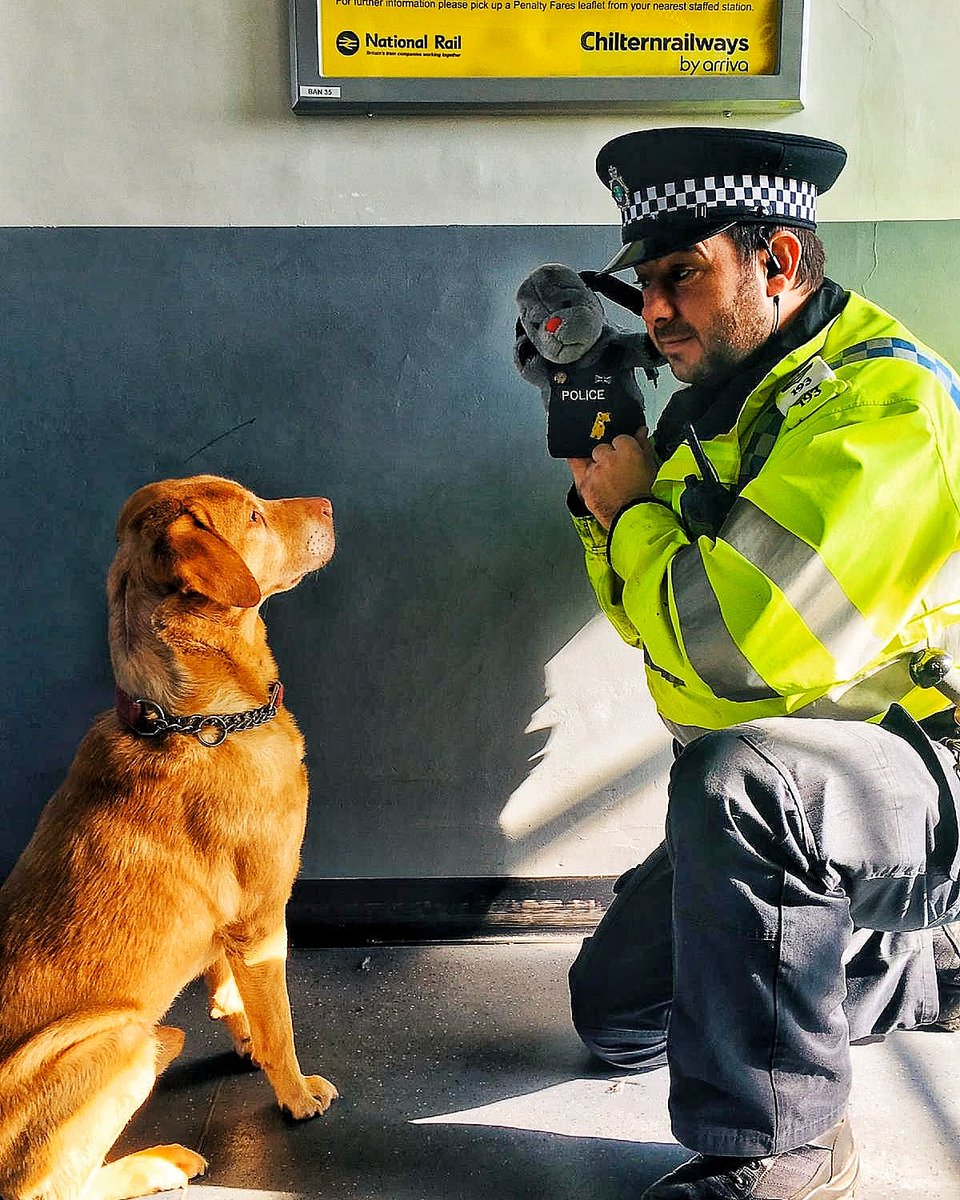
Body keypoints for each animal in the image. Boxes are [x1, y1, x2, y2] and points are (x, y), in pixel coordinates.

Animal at [0, 472, 338, 1195]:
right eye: (253, 516)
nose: (328, 504)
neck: (201, 721)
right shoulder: (263, 920)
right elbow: (280, 1023)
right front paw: (295, 1095)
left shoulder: (231, 932)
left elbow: (231, 991)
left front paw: (242, 1036)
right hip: (119, 1039)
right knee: (55, 1186)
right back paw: (160, 1162)